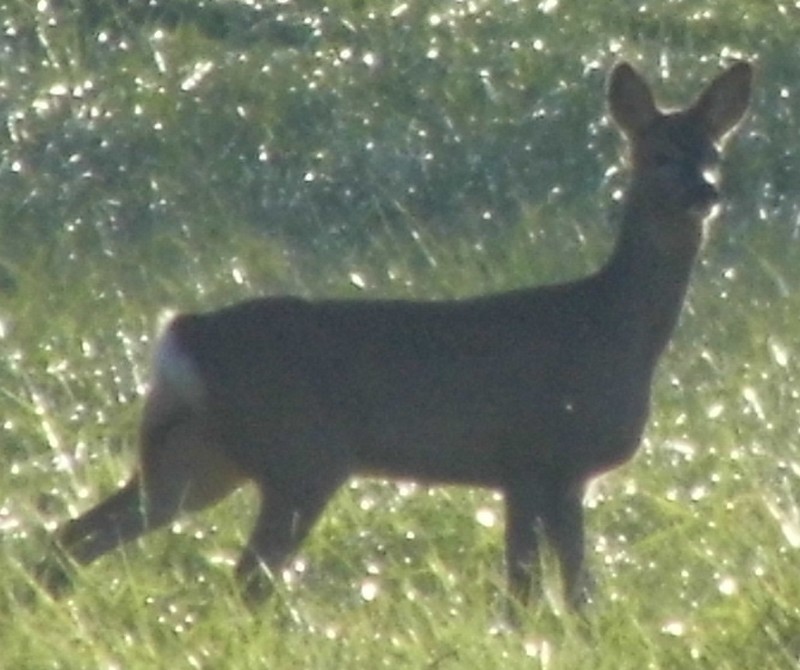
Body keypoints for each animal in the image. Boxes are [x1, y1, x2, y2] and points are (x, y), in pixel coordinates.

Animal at [36, 60, 752, 616]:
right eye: (657, 154)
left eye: (715, 153)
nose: (705, 193)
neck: (612, 328)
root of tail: (183, 334)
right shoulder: (536, 454)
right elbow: (538, 591)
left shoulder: (547, 472)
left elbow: (566, 589)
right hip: (300, 454)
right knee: (246, 577)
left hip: (195, 455)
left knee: (73, 535)